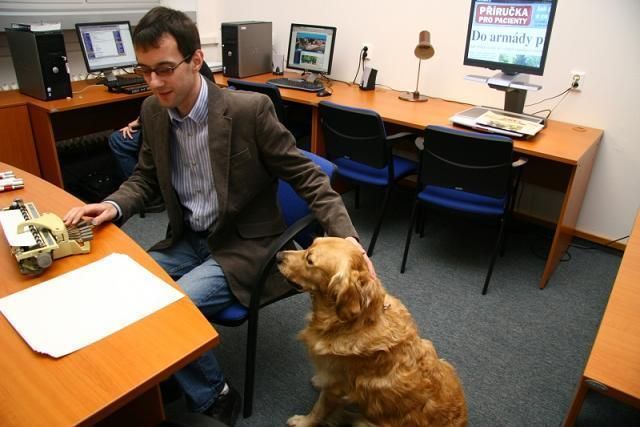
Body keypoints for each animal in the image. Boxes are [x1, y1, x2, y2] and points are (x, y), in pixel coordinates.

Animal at [278, 237, 468, 427]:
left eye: (310, 261)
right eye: (310, 244)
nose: (278, 256)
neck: (354, 322)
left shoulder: (336, 388)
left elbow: (319, 409)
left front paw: (303, 421)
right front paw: (319, 379)